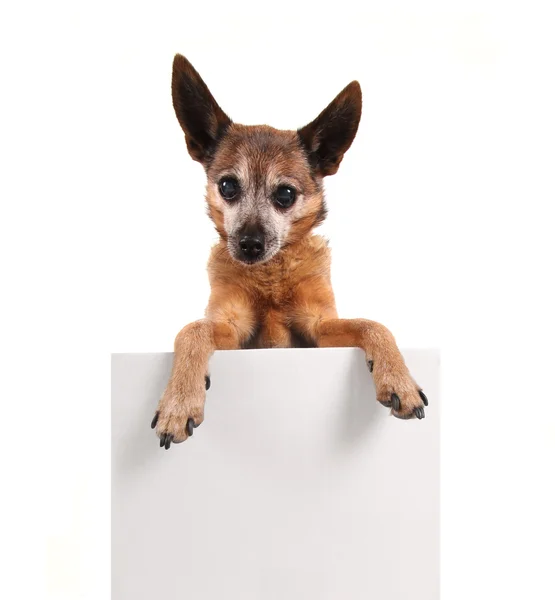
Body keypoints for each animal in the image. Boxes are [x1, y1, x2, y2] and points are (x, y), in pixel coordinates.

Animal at [151, 55, 430, 450]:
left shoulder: (319, 328)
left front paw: (399, 379)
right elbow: (192, 330)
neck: (270, 276)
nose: (249, 245)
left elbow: (373, 324)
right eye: (228, 186)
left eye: (285, 194)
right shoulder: (232, 330)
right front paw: (178, 403)